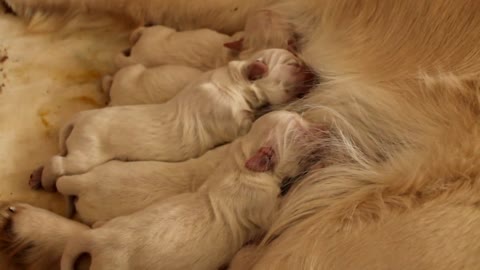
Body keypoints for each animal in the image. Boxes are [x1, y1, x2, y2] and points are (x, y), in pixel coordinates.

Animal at [30, 48, 310, 192]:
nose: (313, 71)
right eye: (293, 65)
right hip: (85, 153)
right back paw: (45, 181)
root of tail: (78, 118)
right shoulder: (232, 120)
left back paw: (35, 174)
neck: (235, 81)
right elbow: (251, 121)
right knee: (58, 163)